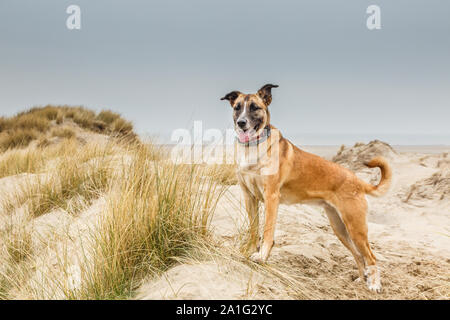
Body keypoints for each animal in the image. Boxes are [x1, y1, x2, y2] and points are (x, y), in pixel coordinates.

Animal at [221, 83, 390, 292]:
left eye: (254, 107)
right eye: (237, 107)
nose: (241, 123)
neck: (253, 147)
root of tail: (357, 180)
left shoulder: (271, 197)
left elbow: (267, 231)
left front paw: (261, 256)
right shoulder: (249, 197)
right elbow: (253, 229)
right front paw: (248, 251)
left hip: (355, 226)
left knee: (371, 256)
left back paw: (373, 285)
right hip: (340, 227)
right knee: (359, 255)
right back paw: (360, 281)